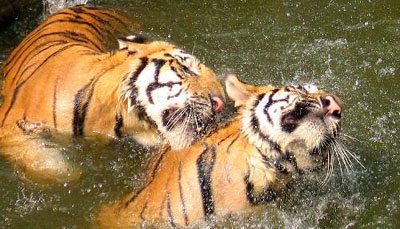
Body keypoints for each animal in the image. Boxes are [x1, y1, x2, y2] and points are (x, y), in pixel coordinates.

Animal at [0, 6, 225, 183]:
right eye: (187, 70)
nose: (221, 103)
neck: (116, 118)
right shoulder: (9, 129)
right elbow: (46, 164)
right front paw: (75, 173)